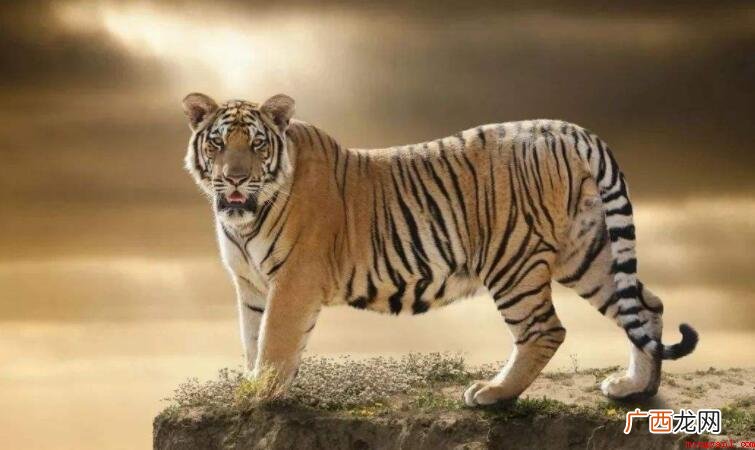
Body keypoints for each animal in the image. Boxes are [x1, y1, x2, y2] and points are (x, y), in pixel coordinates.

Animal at [181, 92, 698, 406]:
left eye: (256, 144)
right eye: (218, 143)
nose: (234, 178)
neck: (243, 218)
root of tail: (569, 129)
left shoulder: (293, 282)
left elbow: (274, 342)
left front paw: (257, 397)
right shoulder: (251, 286)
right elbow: (253, 339)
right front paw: (255, 387)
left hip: (512, 261)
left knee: (545, 330)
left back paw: (493, 393)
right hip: (587, 251)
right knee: (645, 303)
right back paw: (635, 388)